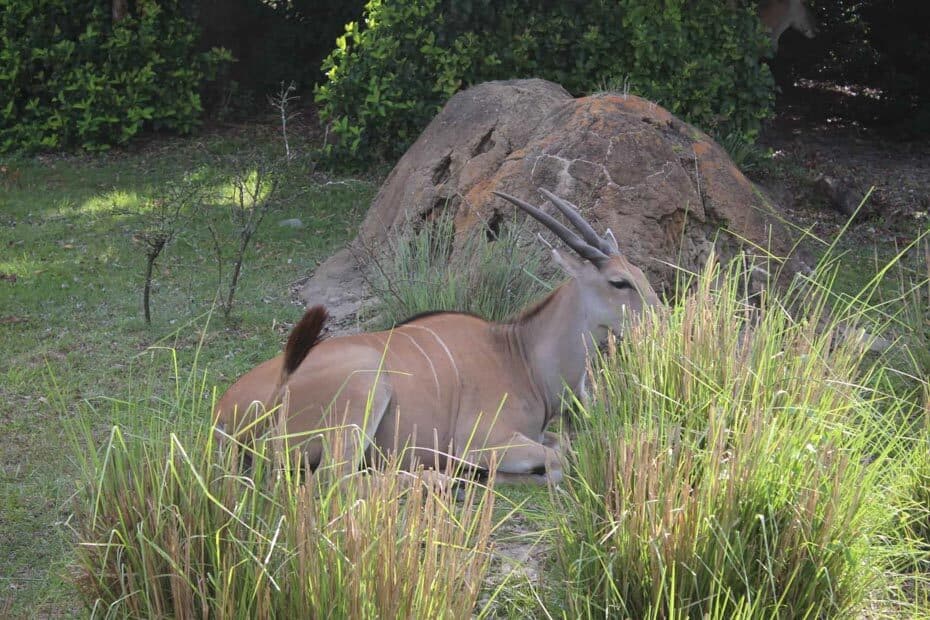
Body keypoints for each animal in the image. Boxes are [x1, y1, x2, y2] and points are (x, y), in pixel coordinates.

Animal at [213, 189, 656, 484]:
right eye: (619, 282)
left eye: (640, 273)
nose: (660, 319)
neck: (520, 355)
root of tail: (226, 416)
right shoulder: (484, 441)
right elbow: (557, 457)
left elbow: (562, 444)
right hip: (362, 394)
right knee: (335, 483)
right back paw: (443, 479)